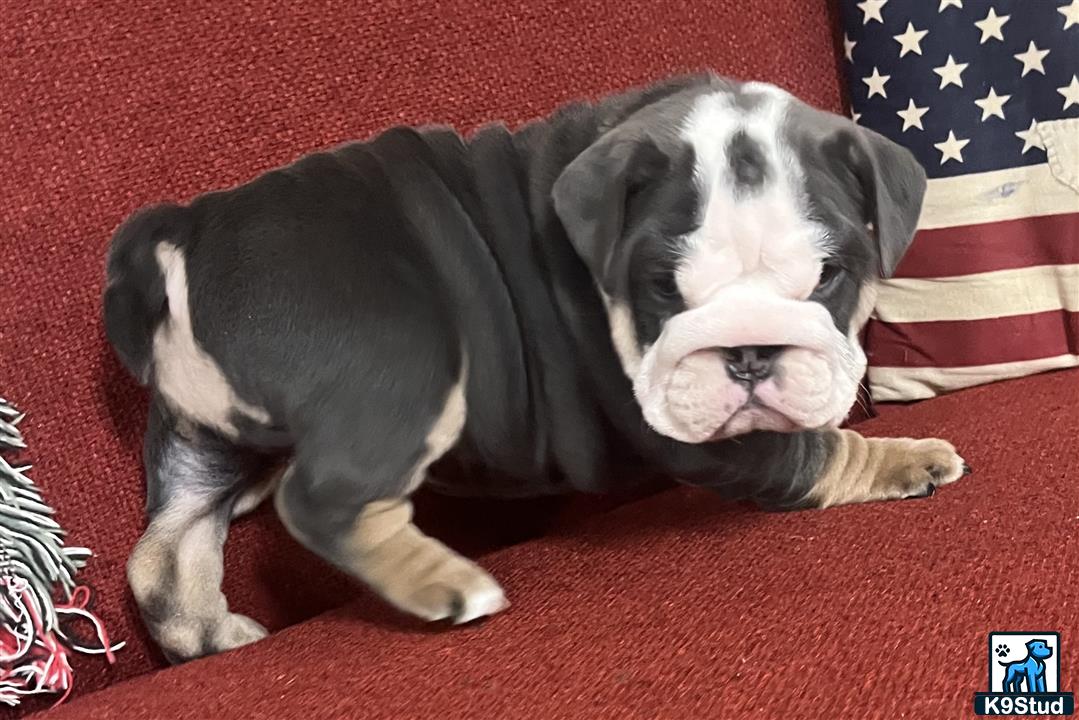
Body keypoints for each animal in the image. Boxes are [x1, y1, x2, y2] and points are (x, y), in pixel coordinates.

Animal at [105, 73, 971, 664]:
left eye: (828, 275)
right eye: (663, 286)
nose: (750, 349)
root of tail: (185, 230)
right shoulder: (691, 431)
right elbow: (815, 452)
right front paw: (907, 459)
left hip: (206, 441)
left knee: (168, 545)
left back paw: (209, 634)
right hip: (402, 364)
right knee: (321, 499)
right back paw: (447, 587)